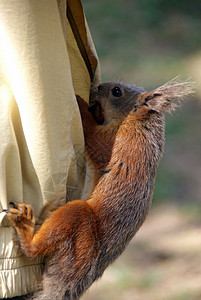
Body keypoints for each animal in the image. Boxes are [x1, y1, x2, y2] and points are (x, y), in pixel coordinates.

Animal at [4, 78, 193, 298]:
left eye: (116, 92)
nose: (99, 86)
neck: (136, 121)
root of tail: (74, 280)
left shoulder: (119, 142)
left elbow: (95, 139)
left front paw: (81, 104)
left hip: (80, 223)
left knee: (33, 249)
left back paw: (25, 225)